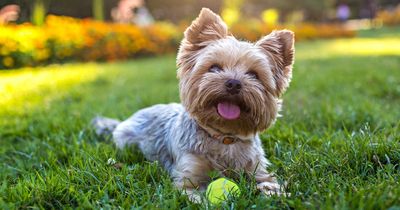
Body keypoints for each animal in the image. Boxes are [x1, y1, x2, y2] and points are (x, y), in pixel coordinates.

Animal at [93, 7, 294, 202]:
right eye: (214, 67)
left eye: (254, 74)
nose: (234, 83)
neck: (224, 137)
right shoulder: (189, 176)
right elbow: (197, 195)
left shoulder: (257, 168)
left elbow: (268, 181)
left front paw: (275, 193)